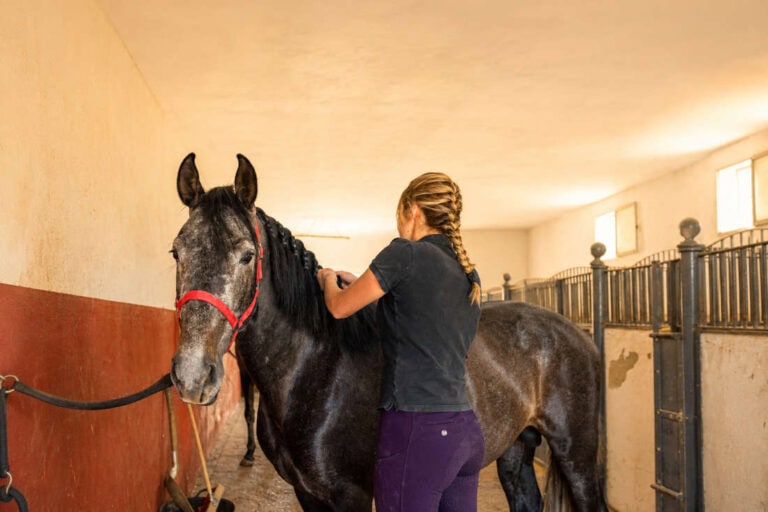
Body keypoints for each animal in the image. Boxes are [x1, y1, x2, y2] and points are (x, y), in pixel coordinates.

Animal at [169, 153, 605, 511]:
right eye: (176, 251)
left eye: (247, 255)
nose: (192, 376)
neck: (316, 370)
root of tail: (575, 332)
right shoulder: (306, 493)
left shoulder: (351, 495)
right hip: (515, 449)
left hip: (576, 456)